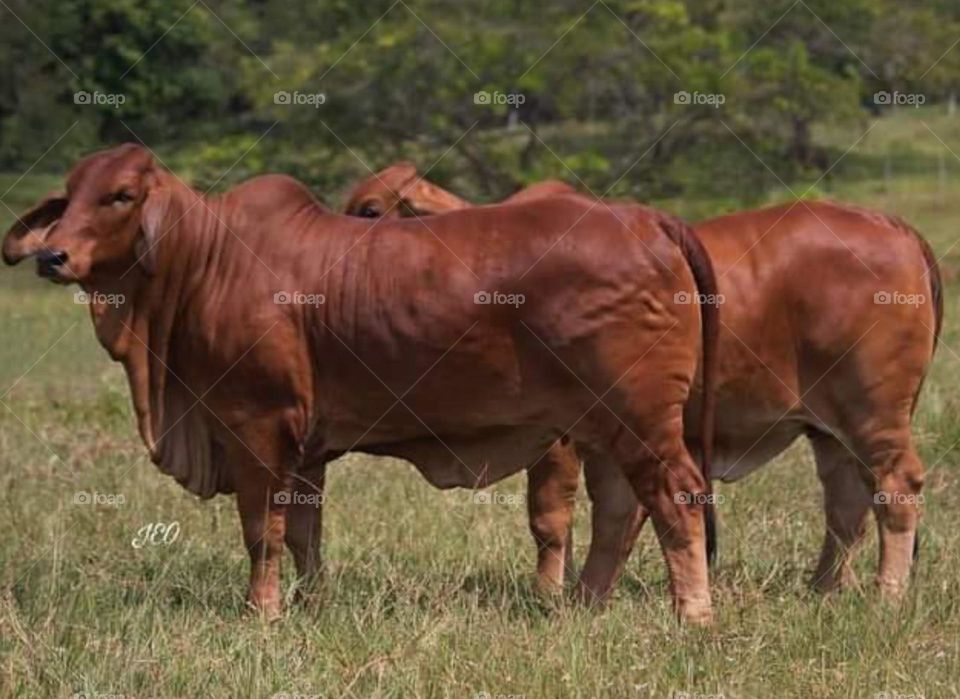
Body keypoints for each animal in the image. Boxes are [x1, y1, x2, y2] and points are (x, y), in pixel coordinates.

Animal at [2, 143, 720, 623]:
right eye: (69, 195)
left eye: (121, 195)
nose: (52, 255)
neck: (205, 261)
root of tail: (647, 219)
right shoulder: (306, 447)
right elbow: (303, 533)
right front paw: (308, 604)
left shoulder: (256, 425)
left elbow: (261, 529)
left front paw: (261, 613)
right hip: (605, 428)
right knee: (620, 511)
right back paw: (583, 608)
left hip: (641, 420)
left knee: (676, 498)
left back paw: (692, 616)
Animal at [343, 165, 942, 603]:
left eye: (370, 210)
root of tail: (895, 226)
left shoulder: (558, 442)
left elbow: (549, 519)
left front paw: (547, 595)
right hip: (830, 429)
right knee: (846, 502)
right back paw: (822, 590)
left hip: (873, 413)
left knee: (896, 488)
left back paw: (886, 595)